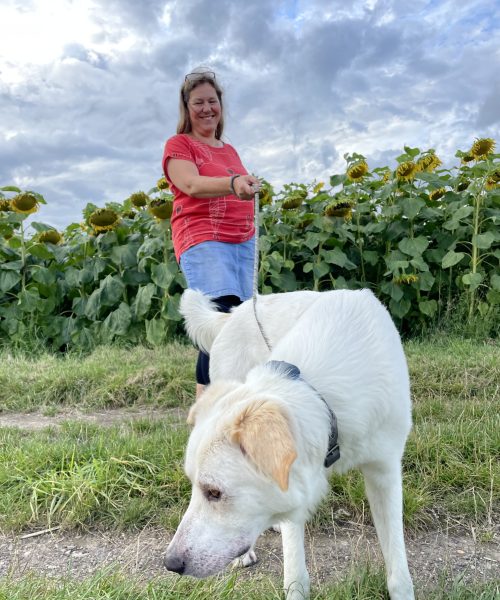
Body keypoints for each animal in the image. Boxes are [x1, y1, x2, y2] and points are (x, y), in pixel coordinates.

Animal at [164, 288, 414, 596]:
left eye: (214, 492)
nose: (170, 564)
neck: (323, 399)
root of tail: (233, 313)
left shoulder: (385, 472)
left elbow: (398, 567)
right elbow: (295, 573)